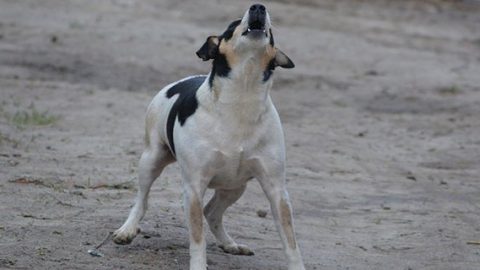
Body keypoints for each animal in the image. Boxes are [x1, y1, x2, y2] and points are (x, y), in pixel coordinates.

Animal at [113, 4, 304, 270]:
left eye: (271, 32)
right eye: (233, 25)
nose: (258, 7)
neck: (242, 97)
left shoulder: (276, 189)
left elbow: (290, 241)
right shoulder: (194, 187)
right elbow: (197, 238)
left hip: (235, 187)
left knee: (212, 213)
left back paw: (230, 244)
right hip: (151, 160)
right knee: (142, 200)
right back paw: (127, 230)